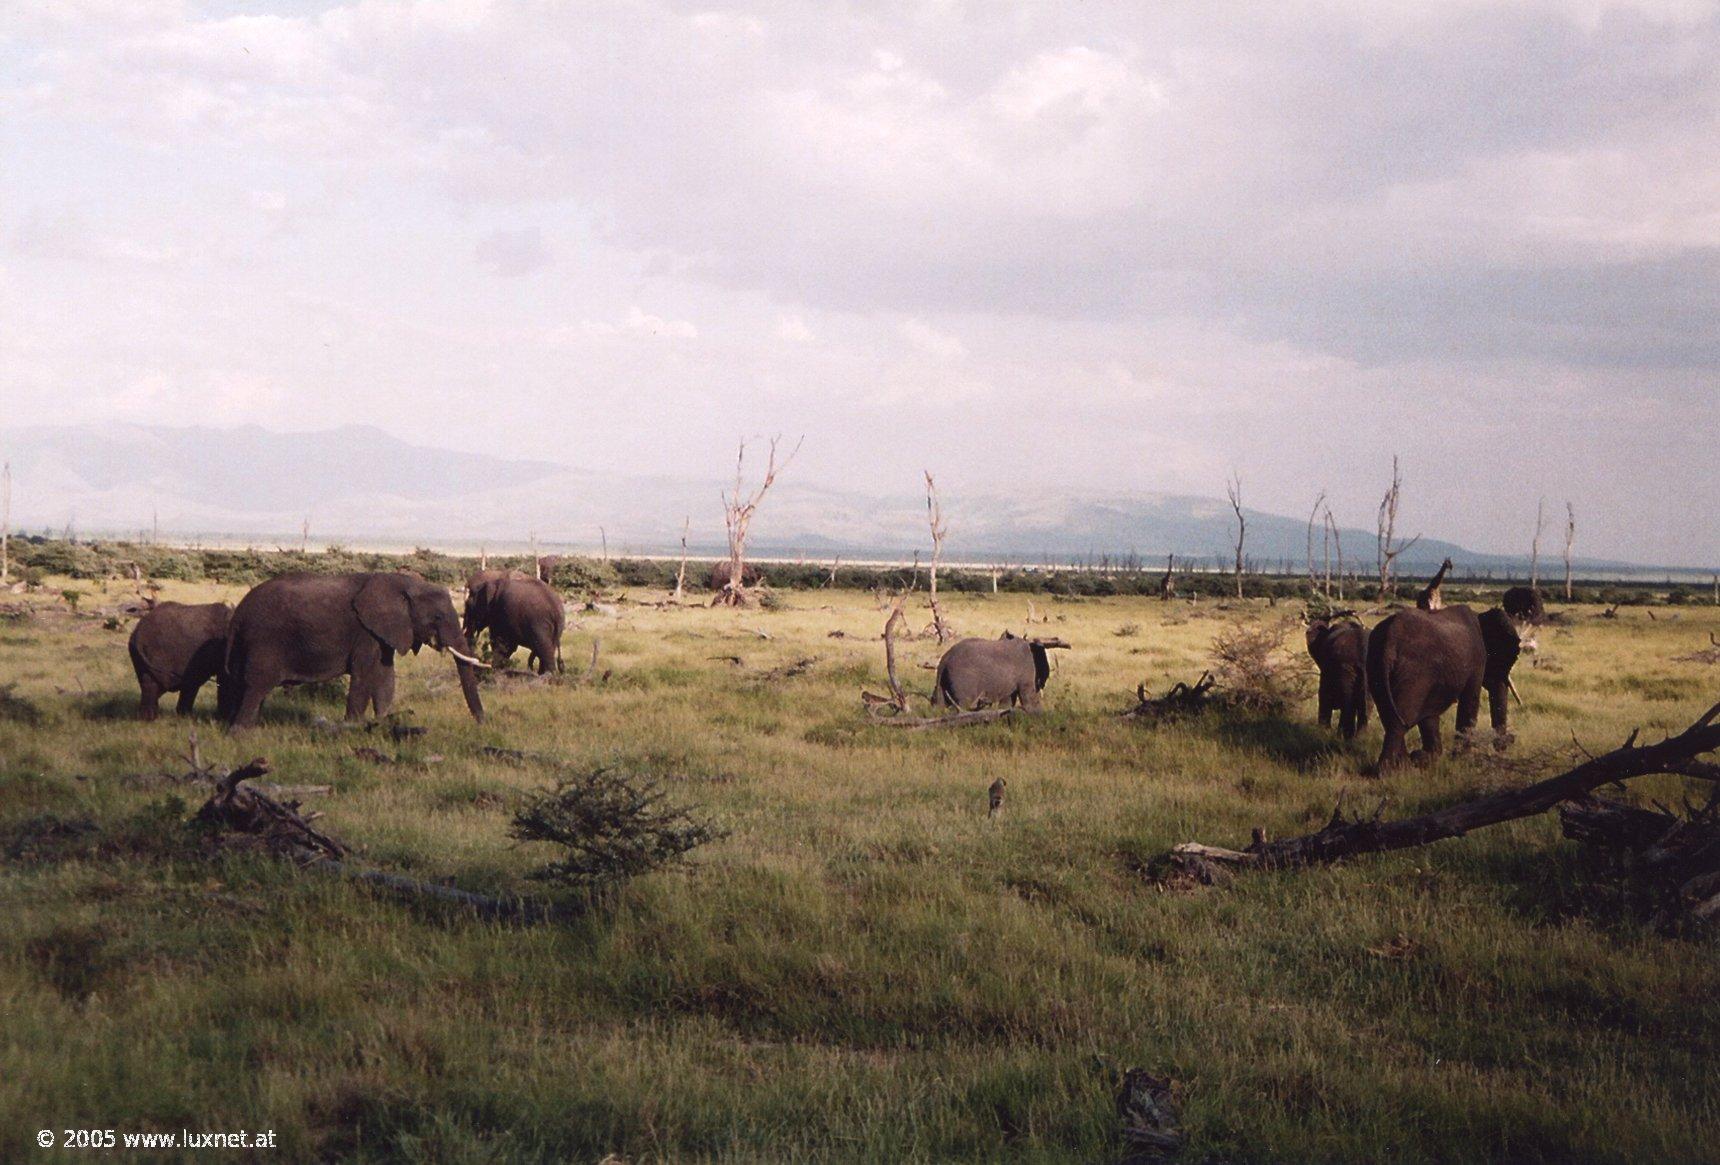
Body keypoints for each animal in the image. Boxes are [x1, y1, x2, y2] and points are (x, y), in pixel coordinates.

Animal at [218, 571, 485, 726]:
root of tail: (239, 611)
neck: (405, 583)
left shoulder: (382, 632)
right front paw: (352, 728)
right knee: (257, 685)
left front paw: (382, 723)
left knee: (242, 684)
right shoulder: (365, 631)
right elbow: (365, 674)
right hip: (265, 639)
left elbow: (385, 675)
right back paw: (240, 733)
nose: (482, 723)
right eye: (437, 617)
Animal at [1362, 605, 1527, 767]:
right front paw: (1461, 759)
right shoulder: (1477, 660)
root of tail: (1389, 640)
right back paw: (1390, 769)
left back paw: (1405, 763)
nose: (1505, 744)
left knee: (1390, 715)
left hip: (1375, 666)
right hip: (1413, 671)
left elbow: (1429, 713)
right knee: (1399, 721)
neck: (1480, 615)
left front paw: (1428, 757)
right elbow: (1470, 700)